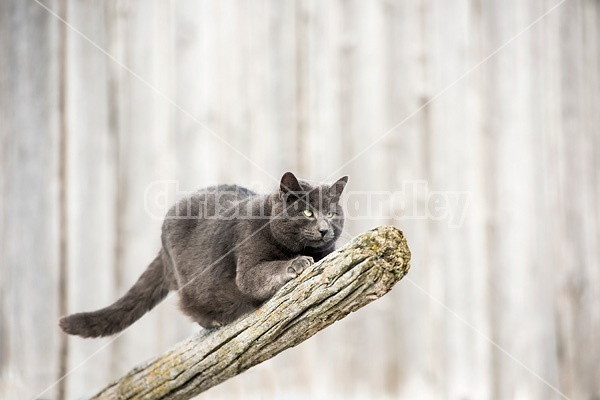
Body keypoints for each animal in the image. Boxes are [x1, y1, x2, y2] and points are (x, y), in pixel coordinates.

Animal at [60, 172, 346, 338]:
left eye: (331, 213)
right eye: (308, 213)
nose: (324, 229)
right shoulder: (247, 269)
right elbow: (267, 271)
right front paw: (296, 264)